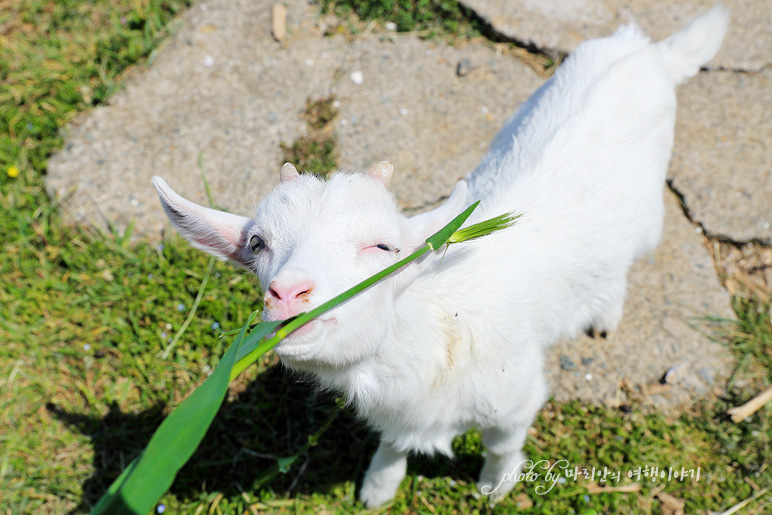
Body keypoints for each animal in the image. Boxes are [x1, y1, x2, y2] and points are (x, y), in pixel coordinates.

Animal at [151, 5, 728, 508]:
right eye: (257, 244)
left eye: (385, 247)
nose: (288, 292)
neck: (435, 322)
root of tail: (643, 49)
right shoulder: (400, 413)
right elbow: (392, 443)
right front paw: (378, 488)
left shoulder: (516, 396)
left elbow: (502, 445)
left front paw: (495, 488)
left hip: (648, 215)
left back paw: (605, 313)